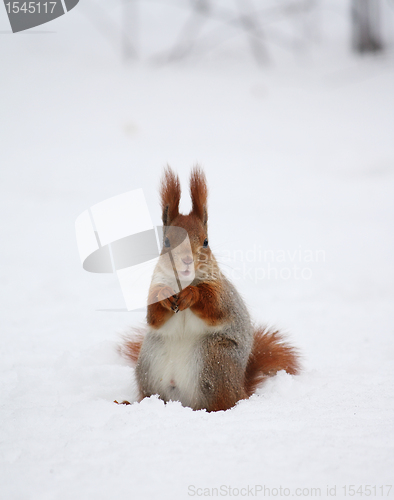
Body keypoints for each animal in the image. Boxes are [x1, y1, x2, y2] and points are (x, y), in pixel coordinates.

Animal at [121, 166, 300, 412]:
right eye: (166, 242)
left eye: (206, 242)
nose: (187, 260)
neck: (182, 283)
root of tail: (240, 388)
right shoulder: (155, 286)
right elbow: (154, 317)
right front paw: (164, 296)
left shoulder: (222, 293)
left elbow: (215, 307)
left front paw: (192, 295)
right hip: (149, 364)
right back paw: (131, 403)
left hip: (215, 360)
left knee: (222, 402)